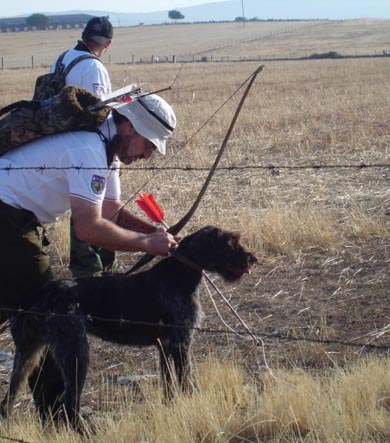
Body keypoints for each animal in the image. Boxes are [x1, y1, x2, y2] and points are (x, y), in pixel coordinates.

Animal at [0, 227, 258, 428]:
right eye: (231, 242)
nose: (253, 259)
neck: (181, 273)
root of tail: (41, 295)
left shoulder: (165, 346)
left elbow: (169, 387)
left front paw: (172, 409)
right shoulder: (181, 343)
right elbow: (187, 382)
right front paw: (194, 404)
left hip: (28, 354)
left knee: (9, 399)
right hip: (76, 353)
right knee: (70, 406)